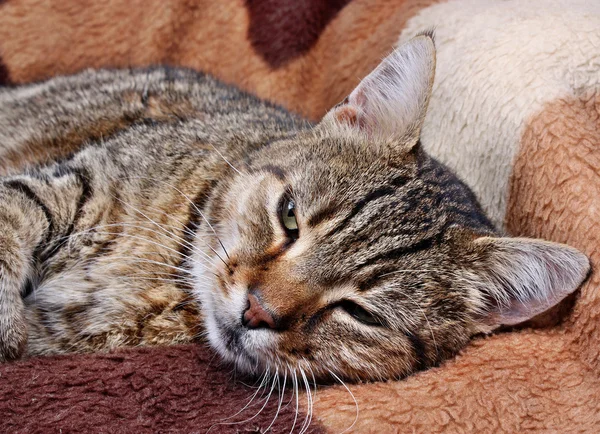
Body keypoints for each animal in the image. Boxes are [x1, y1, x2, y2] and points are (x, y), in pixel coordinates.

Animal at [0, 34, 592, 382]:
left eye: (360, 313)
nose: (256, 310)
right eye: (289, 216)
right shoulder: (77, 180)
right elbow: (14, 213)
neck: (170, 282)